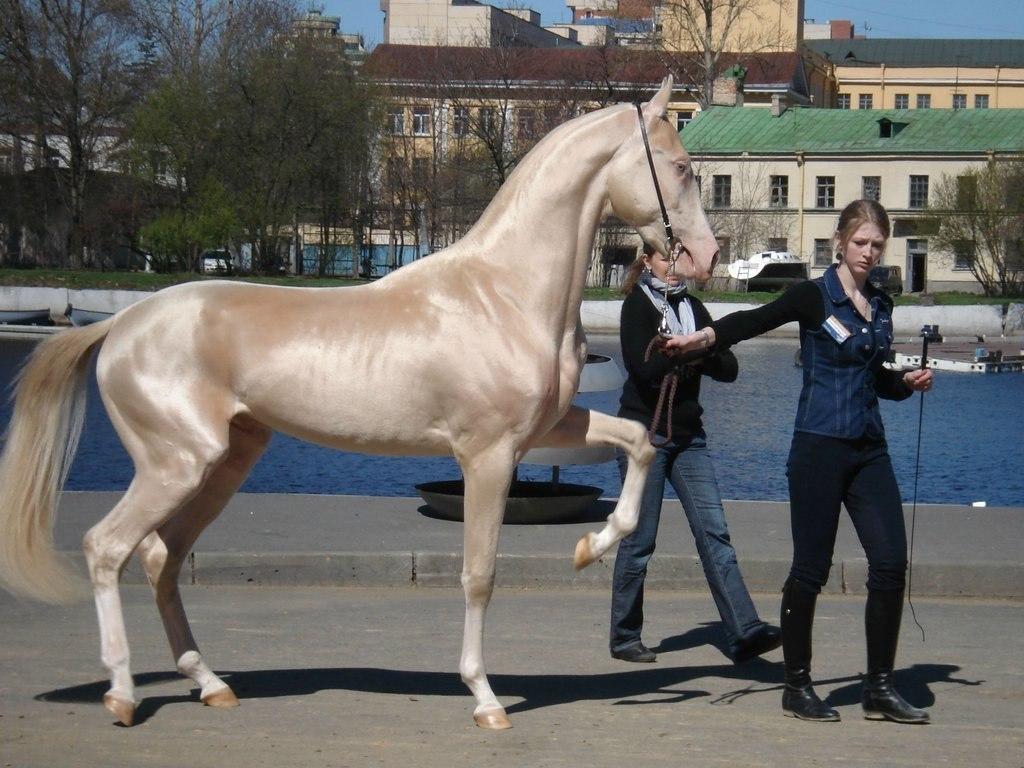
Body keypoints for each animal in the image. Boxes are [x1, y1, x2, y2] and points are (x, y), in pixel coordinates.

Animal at [0, 76, 717, 729]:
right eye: (682, 167)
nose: (706, 258)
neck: (505, 292)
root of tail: (121, 325)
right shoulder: (488, 455)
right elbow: (479, 573)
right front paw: (485, 698)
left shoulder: (546, 430)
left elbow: (640, 443)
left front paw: (591, 546)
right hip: (176, 465)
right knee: (106, 548)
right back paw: (122, 695)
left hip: (222, 465)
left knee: (161, 558)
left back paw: (211, 684)